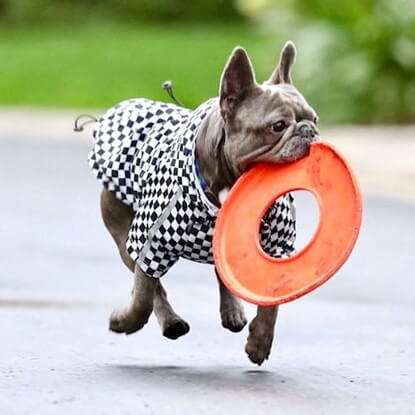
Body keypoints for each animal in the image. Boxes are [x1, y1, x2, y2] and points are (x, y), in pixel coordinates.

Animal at [87, 41, 318, 368]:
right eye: (278, 126)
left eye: (315, 119)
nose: (309, 131)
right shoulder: (149, 243)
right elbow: (144, 295)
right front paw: (124, 321)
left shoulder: (276, 247)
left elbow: (270, 303)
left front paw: (260, 342)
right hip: (122, 235)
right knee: (152, 286)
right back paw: (170, 322)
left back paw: (232, 312)